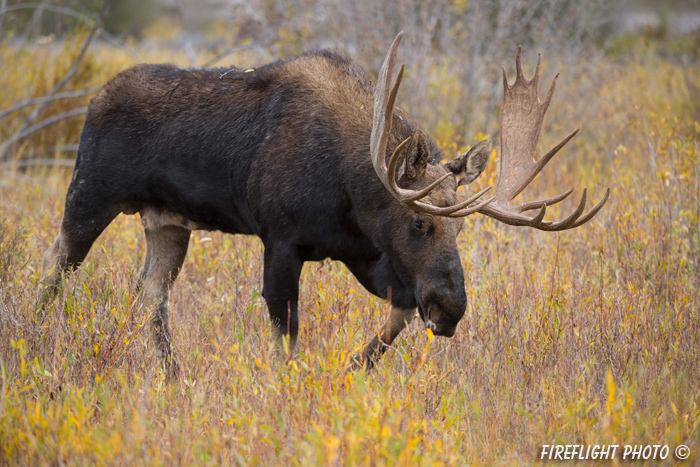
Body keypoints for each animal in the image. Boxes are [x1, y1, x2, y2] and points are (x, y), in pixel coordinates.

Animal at [38, 32, 608, 372]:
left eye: (462, 229)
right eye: (418, 223)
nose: (451, 308)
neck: (352, 193)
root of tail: (93, 99)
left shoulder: (363, 254)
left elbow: (397, 316)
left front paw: (353, 371)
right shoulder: (281, 241)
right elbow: (285, 335)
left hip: (168, 223)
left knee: (150, 293)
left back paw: (171, 375)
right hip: (90, 194)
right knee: (54, 266)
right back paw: (32, 339)